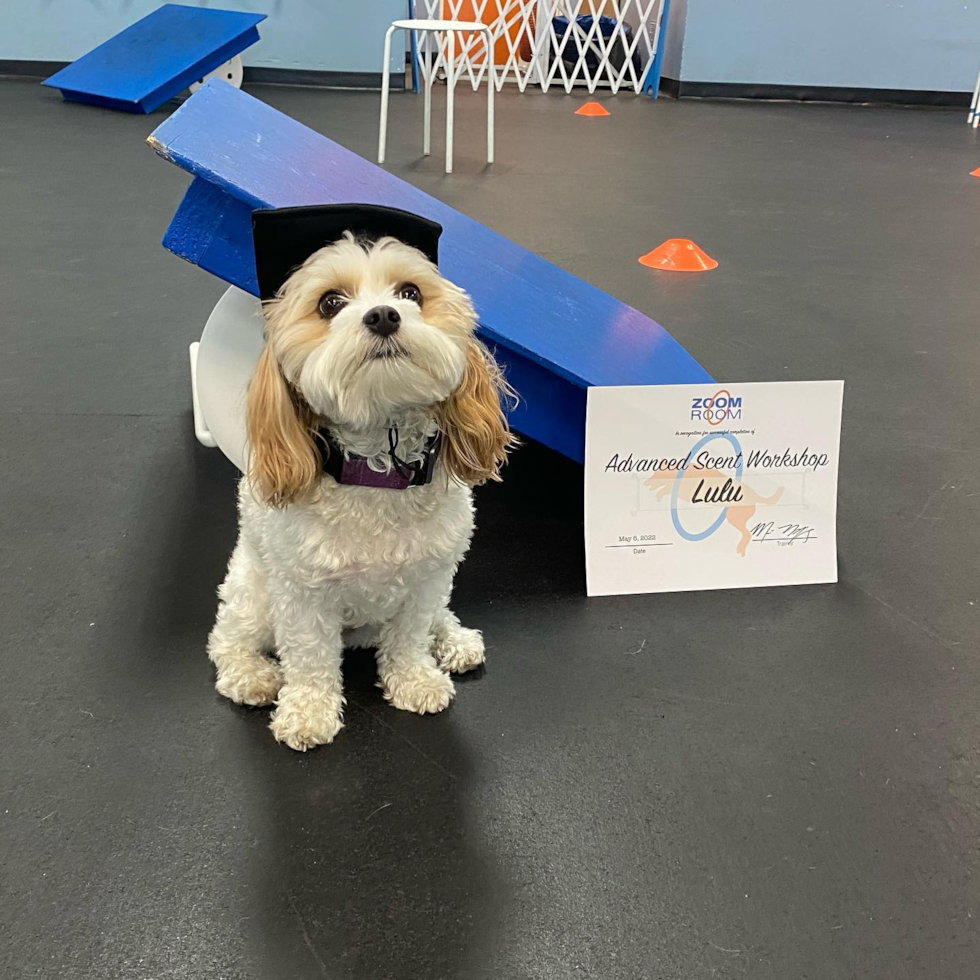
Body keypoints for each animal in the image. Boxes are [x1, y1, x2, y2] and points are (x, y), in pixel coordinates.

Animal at [207, 205, 512, 752]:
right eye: (330, 303)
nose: (384, 315)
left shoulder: (427, 576)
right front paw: (308, 712)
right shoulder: (301, 593)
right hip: (254, 595)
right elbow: (309, 658)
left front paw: (414, 679)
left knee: (436, 617)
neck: (377, 473)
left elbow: (410, 636)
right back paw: (253, 675)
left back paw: (453, 639)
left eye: (410, 293)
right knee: (227, 641)